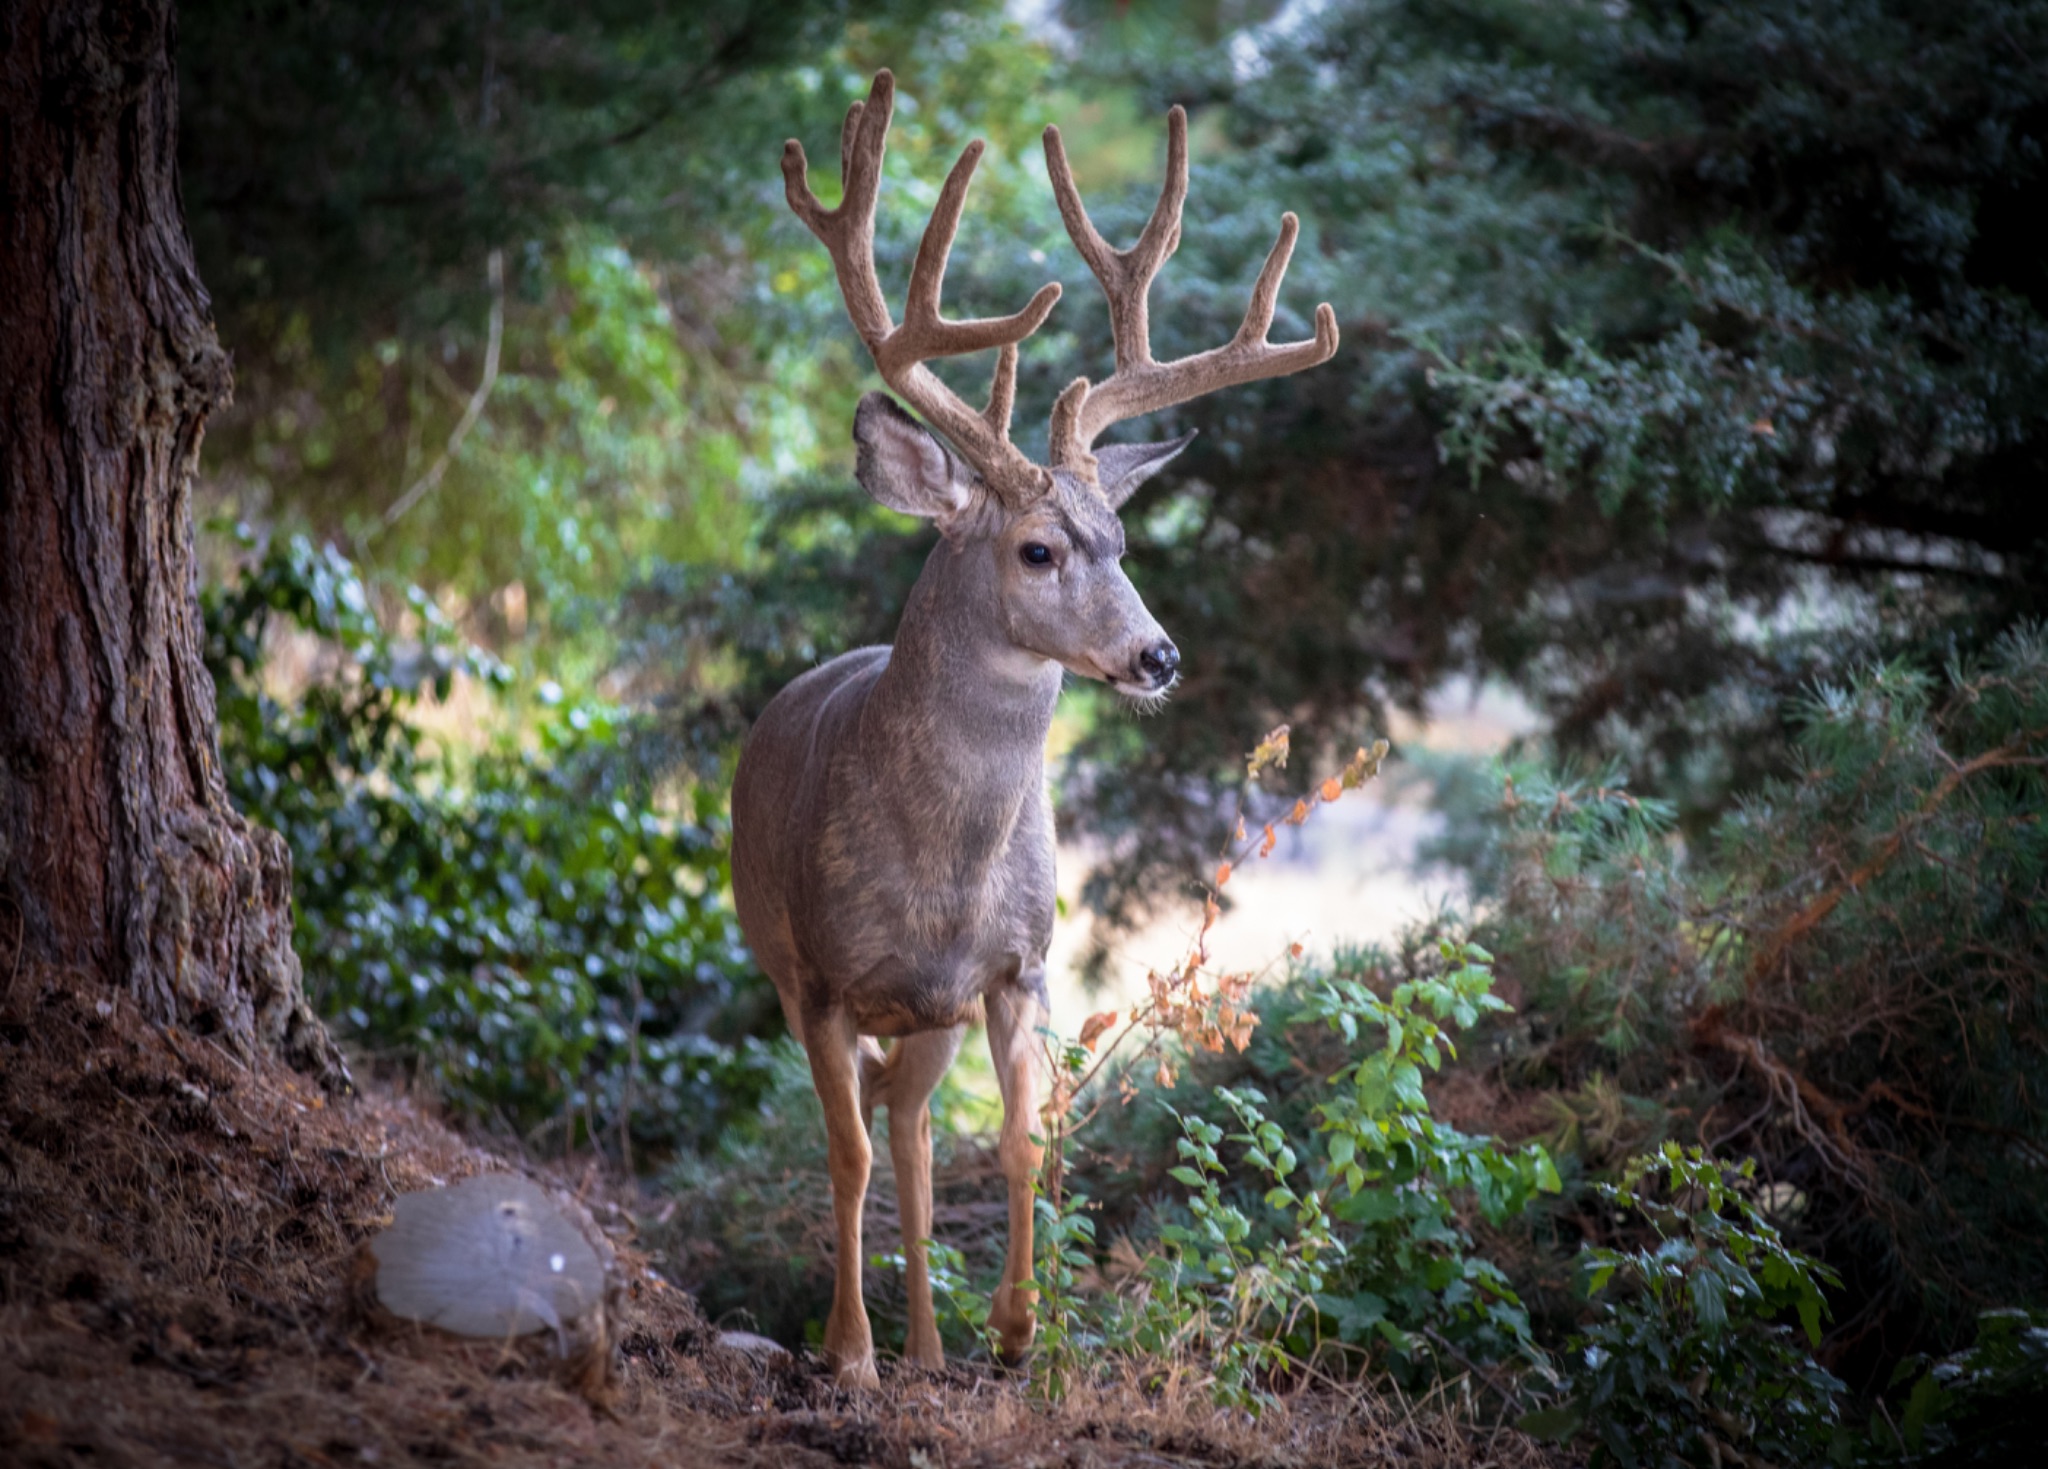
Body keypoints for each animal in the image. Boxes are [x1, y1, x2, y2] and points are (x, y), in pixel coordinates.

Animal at [737, 71, 1343, 1384]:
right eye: (1035, 549)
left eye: (1121, 541)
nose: (1157, 655)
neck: (935, 871)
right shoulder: (817, 975)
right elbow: (843, 1153)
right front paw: (845, 1352)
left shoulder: (1020, 964)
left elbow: (1020, 1138)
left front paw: (1016, 1329)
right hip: (796, 968)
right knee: (882, 1135)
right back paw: (890, 1344)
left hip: (931, 1016)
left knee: (916, 1131)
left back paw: (930, 1346)